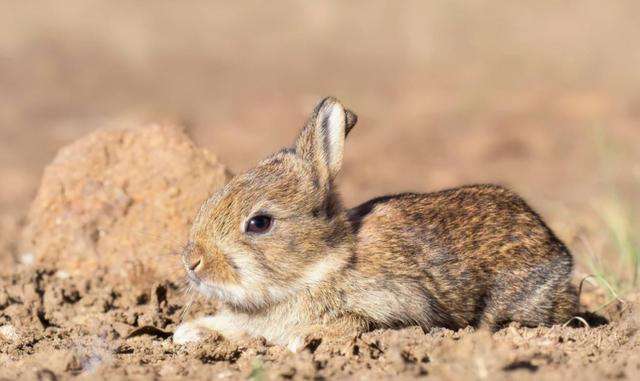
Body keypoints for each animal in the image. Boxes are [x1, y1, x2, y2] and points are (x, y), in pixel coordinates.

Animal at [174, 95, 580, 350]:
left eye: (259, 223)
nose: (192, 261)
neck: (324, 264)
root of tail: (561, 255)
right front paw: (187, 333)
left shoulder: (397, 305)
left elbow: (354, 322)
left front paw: (304, 340)